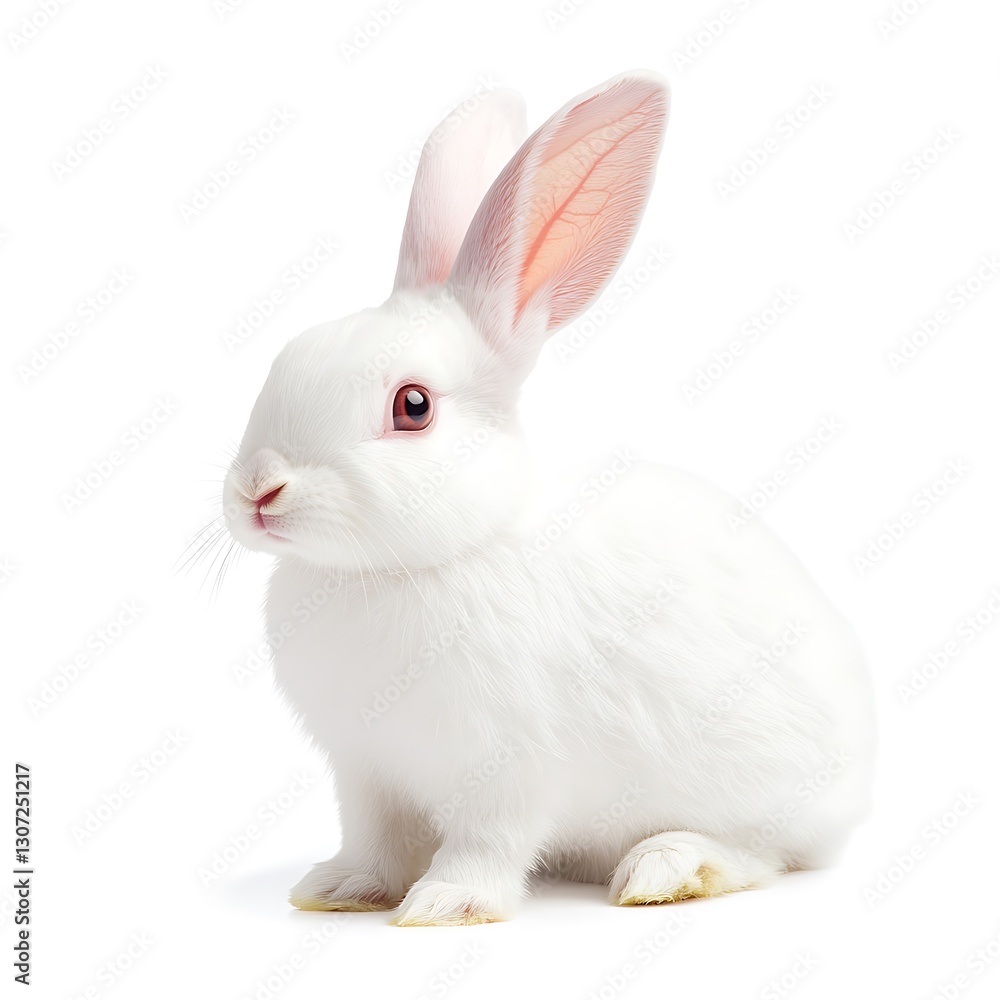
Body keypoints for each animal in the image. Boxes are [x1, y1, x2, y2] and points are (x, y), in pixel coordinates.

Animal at [222, 70, 874, 926]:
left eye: (413, 406)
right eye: (284, 360)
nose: (258, 491)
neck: (407, 568)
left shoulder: (507, 770)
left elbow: (487, 843)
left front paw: (447, 904)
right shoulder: (366, 773)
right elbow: (373, 842)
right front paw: (337, 889)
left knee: (764, 854)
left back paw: (669, 869)